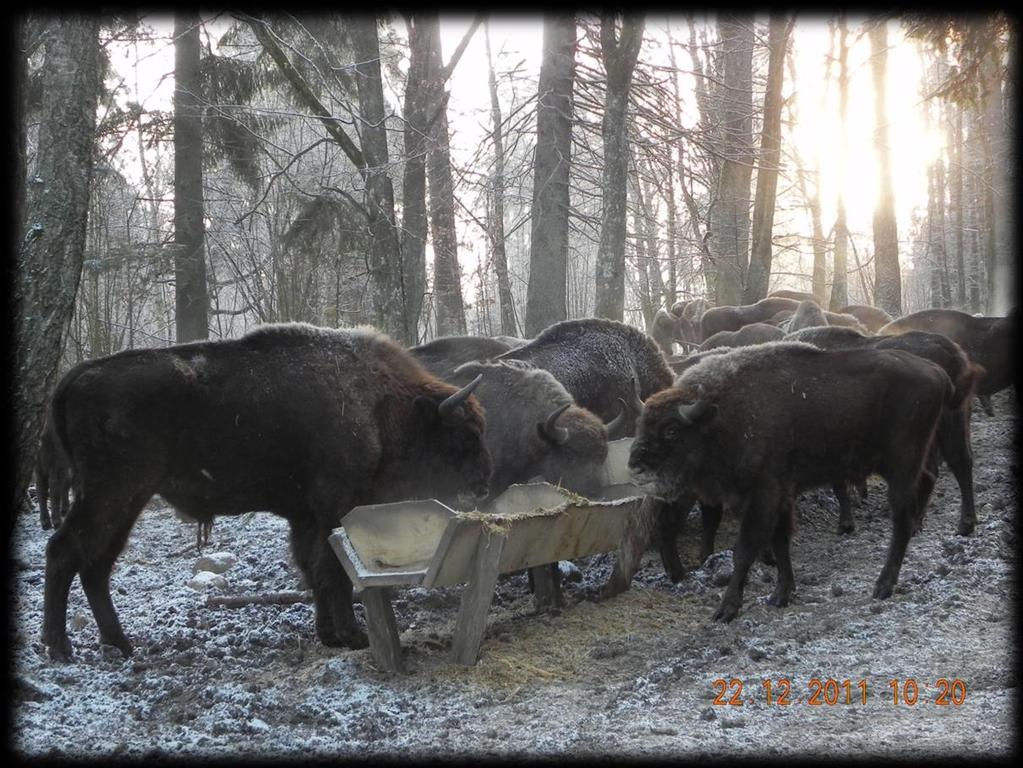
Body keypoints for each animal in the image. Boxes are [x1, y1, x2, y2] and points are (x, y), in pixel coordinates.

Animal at [41, 325, 497, 662]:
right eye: (463, 436)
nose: (484, 481)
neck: (379, 401)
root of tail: (77, 376)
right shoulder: (334, 507)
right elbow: (332, 569)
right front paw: (353, 636)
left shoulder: (306, 516)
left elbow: (312, 568)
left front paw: (329, 635)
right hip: (112, 494)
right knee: (65, 552)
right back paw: (60, 647)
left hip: (124, 502)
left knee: (96, 566)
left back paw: (120, 644)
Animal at [626, 339, 953, 621]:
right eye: (641, 425)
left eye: (671, 430)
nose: (635, 467)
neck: (720, 417)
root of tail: (937, 372)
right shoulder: (780, 499)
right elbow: (781, 544)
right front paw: (780, 595)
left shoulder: (763, 497)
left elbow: (744, 551)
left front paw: (726, 610)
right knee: (924, 483)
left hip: (901, 466)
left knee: (901, 520)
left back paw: (883, 586)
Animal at [785, 327, 986, 535]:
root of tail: (950, 351)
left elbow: (839, 485)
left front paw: (845, 524)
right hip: (954, 419)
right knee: (960, 461)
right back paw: (964, 524)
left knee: (932, 470)